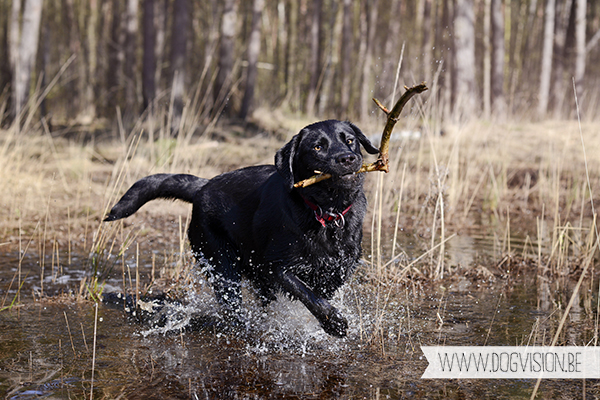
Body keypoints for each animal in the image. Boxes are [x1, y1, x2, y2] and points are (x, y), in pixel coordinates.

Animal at [105, 119, 378, 338]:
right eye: (317, 147)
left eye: (350, 141)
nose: (347, 158)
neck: (326, 211)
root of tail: (203, 186)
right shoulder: (278, 267)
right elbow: (309, 295)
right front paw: (335, 324)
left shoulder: (343, 264)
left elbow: (325, 287)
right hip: (222, 266)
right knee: (232, 306)